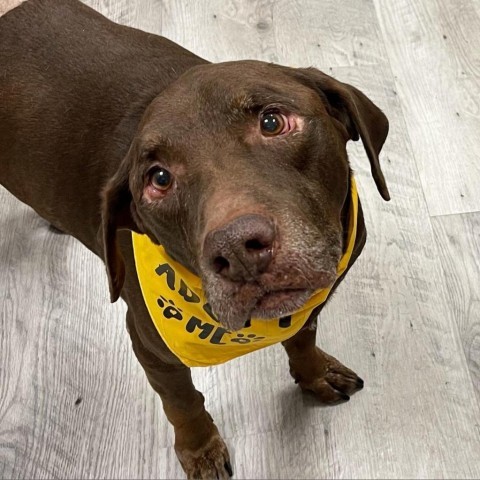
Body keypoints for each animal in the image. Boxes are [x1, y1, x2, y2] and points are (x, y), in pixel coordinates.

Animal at [0, 1, 390, 478]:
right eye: (159, 179)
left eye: (272, 121)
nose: (238, 251)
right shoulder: (150, 346)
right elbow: (182, 402)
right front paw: (201, 449)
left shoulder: (312, 299)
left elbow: (302, 336)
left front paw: (314, 372)